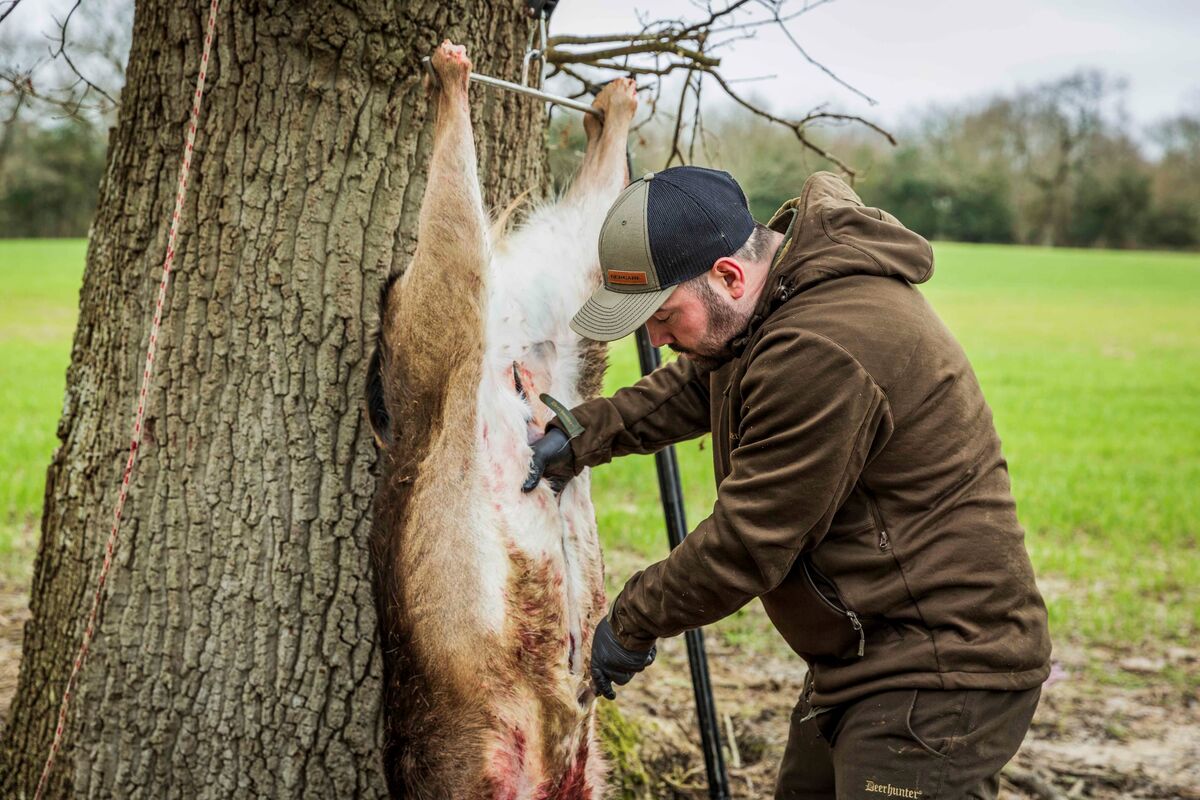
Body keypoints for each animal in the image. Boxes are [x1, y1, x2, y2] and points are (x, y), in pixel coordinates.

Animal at [365, 40, 637, 799]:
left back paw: (451, 71)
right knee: (592, 193)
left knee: (455, 217)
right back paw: (613, 103)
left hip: (441, 317)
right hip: (573, 310)